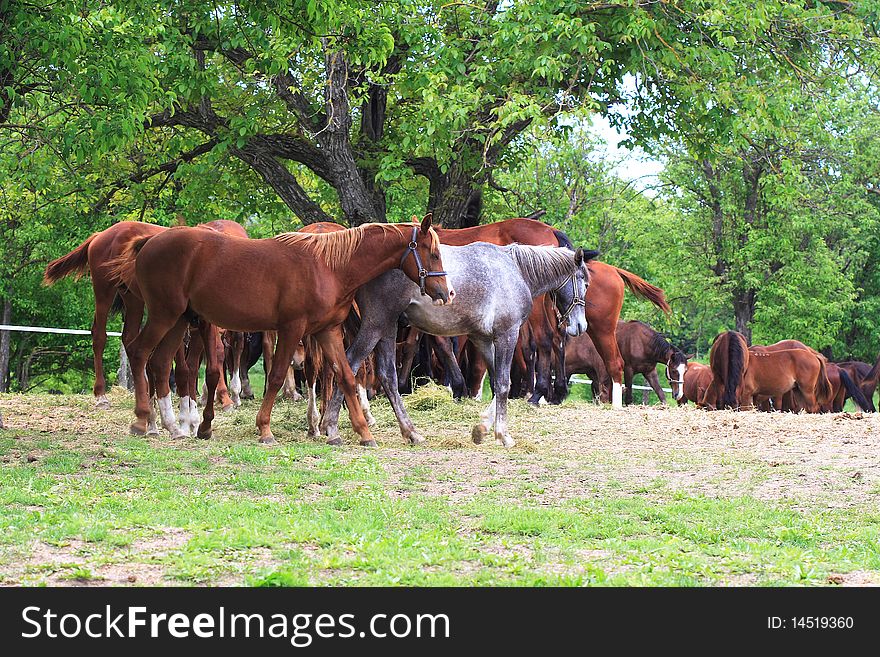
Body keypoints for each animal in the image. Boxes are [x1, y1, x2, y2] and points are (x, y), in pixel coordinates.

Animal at [43, 220, 246, 416]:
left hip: (133, 299)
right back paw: (101, 395)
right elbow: (212, 354)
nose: (238, 393)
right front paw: (223, 398)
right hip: (104, 292)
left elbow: (193, 362)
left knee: (129, 339)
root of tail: (100, 235)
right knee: (99, 335)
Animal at [110, 218, 450, 444]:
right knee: (140, 353)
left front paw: (362, 432)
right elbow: (275, 376)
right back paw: (143, 421)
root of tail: (149, 242)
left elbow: (346, 376)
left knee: (158, 363)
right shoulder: (291, 329)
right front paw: (264, 429)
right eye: (433, 253)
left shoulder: (327, 331)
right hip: (164, 315)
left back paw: (172, 426)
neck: (328, 266)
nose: (446, 293)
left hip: (179, 320)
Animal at [316, 241, 600, 446]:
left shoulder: (482, 338)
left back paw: (408, 432)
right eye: (585, 283)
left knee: (386, 376)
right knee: (350, 364)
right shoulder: (507, 335)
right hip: (377, 325)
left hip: (387, 328)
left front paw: (482, 428)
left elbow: (496, 382)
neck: (515, 270)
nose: (580, 326)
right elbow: (504, 383)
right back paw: (336, 428)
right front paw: (503, 435)